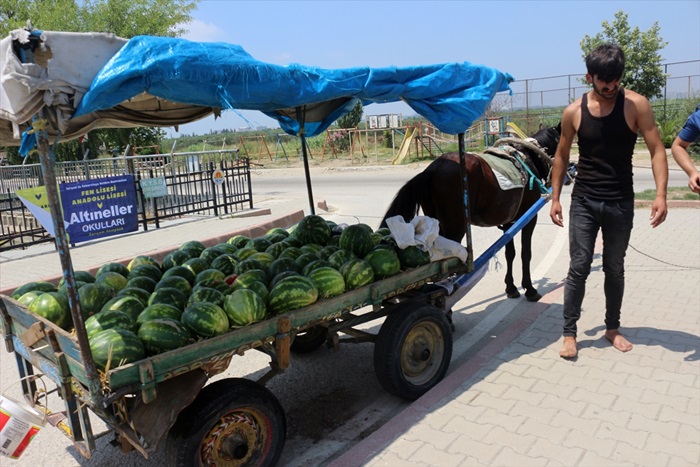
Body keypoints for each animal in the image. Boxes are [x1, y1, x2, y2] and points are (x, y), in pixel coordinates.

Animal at [380, 124, 560, 302]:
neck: (529, 158)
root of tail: (430, 171)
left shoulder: (510, 221)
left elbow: (510, 253)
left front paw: (511, 287)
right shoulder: (530, 218)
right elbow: (525, 253)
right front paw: (529, 288)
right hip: (455, 227)